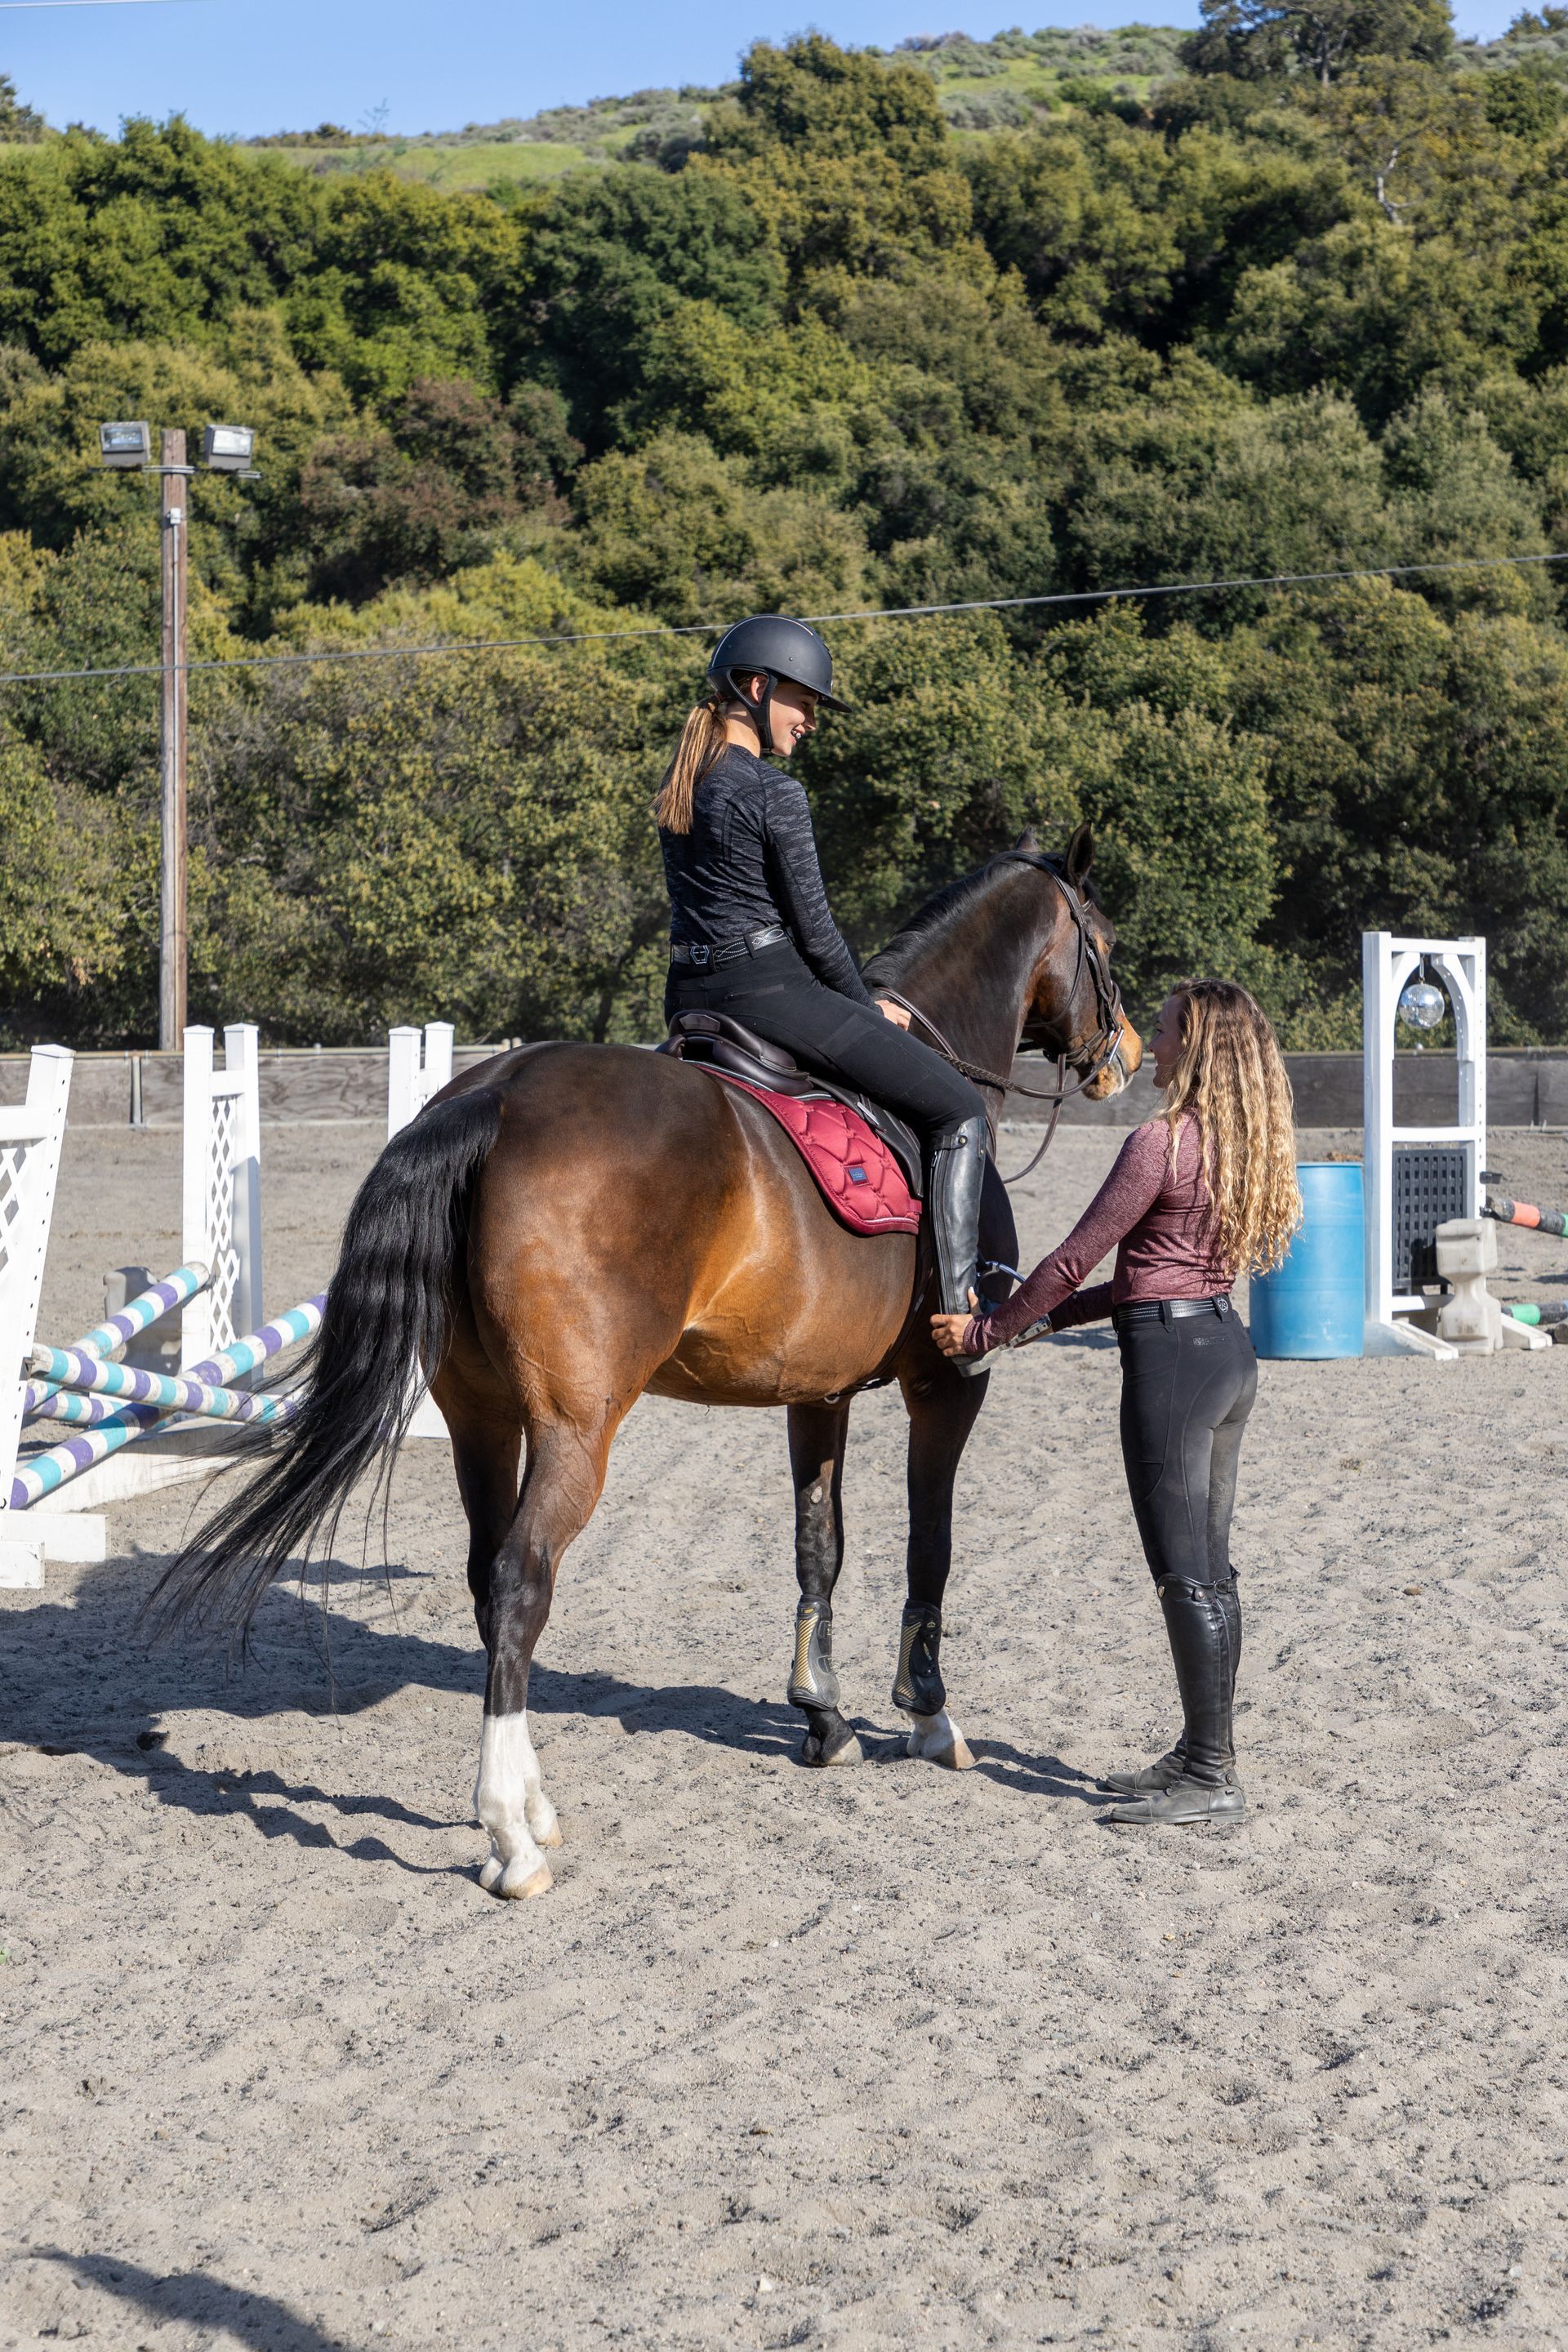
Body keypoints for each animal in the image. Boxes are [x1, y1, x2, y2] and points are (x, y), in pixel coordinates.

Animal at [148, 823, 1142, 1899]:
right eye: (1105, 942)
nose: (1125, 1057)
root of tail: (494, 1094)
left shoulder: (815, 1394)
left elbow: (819, 1548)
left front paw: (823, 1717)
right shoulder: (948, 1385)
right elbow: (933, 1544)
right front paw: (928, 1713)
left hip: (481, 1418)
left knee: (488, 1579)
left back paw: (534, 1807)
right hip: (576, 1429)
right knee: (521, 1580)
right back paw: (512, 1838)